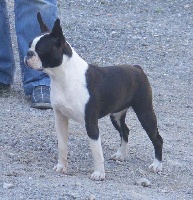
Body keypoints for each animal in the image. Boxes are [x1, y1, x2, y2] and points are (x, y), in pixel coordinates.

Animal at [24, 12, 163, 180]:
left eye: (41, 50)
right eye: (29, 45)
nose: (28, 53)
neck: (63, 78)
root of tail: (137, 68)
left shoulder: (90, 122)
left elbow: (96, 151)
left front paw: (99, 173)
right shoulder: (60, 118)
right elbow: (62, 145)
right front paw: (62, 167)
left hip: (145, 112)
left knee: (157, 138)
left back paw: (157, 165)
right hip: (116, 115)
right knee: (125, 130)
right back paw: (121, 154)